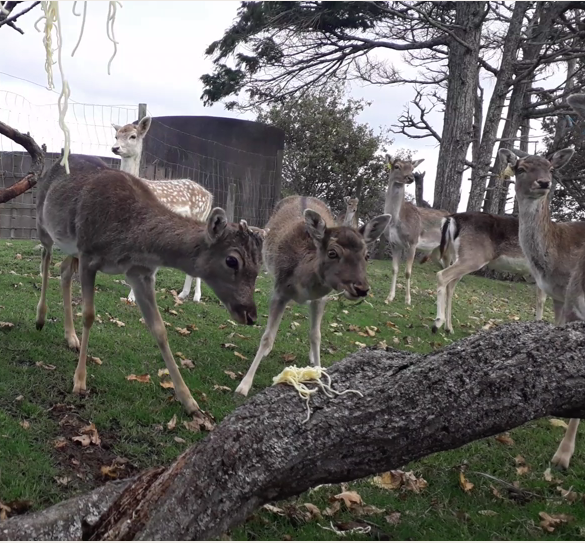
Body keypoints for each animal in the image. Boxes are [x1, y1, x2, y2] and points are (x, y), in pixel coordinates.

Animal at [35, 155, 264, 414]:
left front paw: (189, 401)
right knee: (46, 257)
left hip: (71, 247)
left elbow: (159, 329)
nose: (250, 315)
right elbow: (89, 315)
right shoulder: (88, 255)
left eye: (259, 265)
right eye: (232, 260)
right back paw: (40, 318)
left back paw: (71, 338)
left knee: (63, 270)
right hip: (44, 223)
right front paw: (80, 381)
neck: (129, 238)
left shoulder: (140, 273)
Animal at [110, 117, 211, 304]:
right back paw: (183, 294)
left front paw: (133, 297)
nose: (115, 148)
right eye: (116, 135)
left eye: (133, 136)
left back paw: (197, 297)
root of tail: (209, 195)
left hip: (201, 218)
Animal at [232, 194, 388, 396]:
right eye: (332, 252)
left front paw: (320, 373)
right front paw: (243, 386)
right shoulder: (279, 291)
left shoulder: (320, 299)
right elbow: (266, 337)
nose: (361, 288)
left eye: (367, 255)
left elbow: (316, 335)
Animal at [384, 155, 448, 306]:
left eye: (412, 168)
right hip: (436, 253)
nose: (410, 177)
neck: (396, 220)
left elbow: (408, 272)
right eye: (397, 166)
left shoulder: (413, 242)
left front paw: (408, 300)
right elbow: (394, 269)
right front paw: (389, 297)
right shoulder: (394, 243)